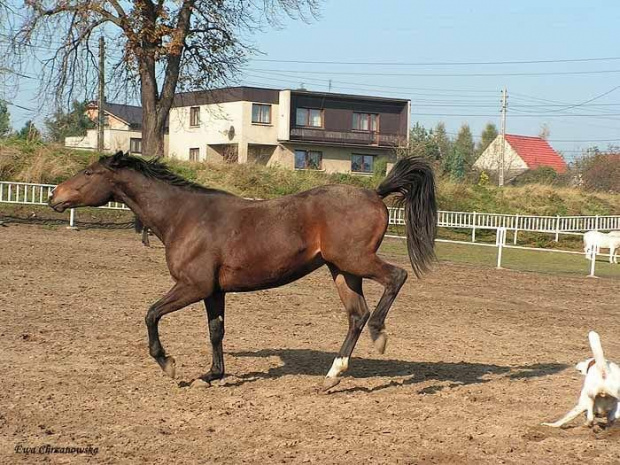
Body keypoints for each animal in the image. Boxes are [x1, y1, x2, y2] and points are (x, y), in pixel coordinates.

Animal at [49, 151, 436, 388]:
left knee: (395, 278)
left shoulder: (193, 286)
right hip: (342, 270)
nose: (55, 196)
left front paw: (168, 364)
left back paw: (379, 335)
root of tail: (375, 193)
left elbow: (151, 314)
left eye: (88, 172)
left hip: (355, 260)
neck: (183, 217)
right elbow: (215, 331)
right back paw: (332, 375)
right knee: (356, 314)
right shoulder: (214, 291)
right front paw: (212, 374)